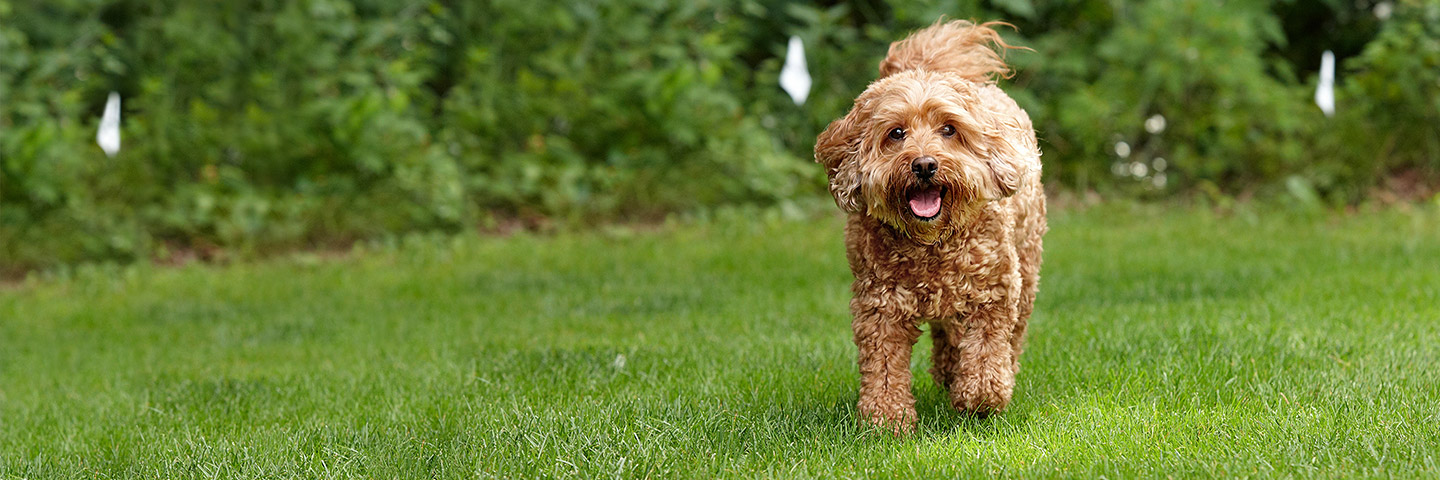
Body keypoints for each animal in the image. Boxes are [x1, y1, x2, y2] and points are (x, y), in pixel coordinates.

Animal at [812, 18, 1048, 432]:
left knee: (1011, 333)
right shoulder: (880, 304)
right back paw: (947, 372)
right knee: (947, 332)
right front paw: (887, 418)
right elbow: (884, 365)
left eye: (949, 130)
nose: (924, 165)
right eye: (896, 133)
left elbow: (986, 348)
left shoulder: (995, 292)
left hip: (1027, 267)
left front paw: (981, 396)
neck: (930, 244)